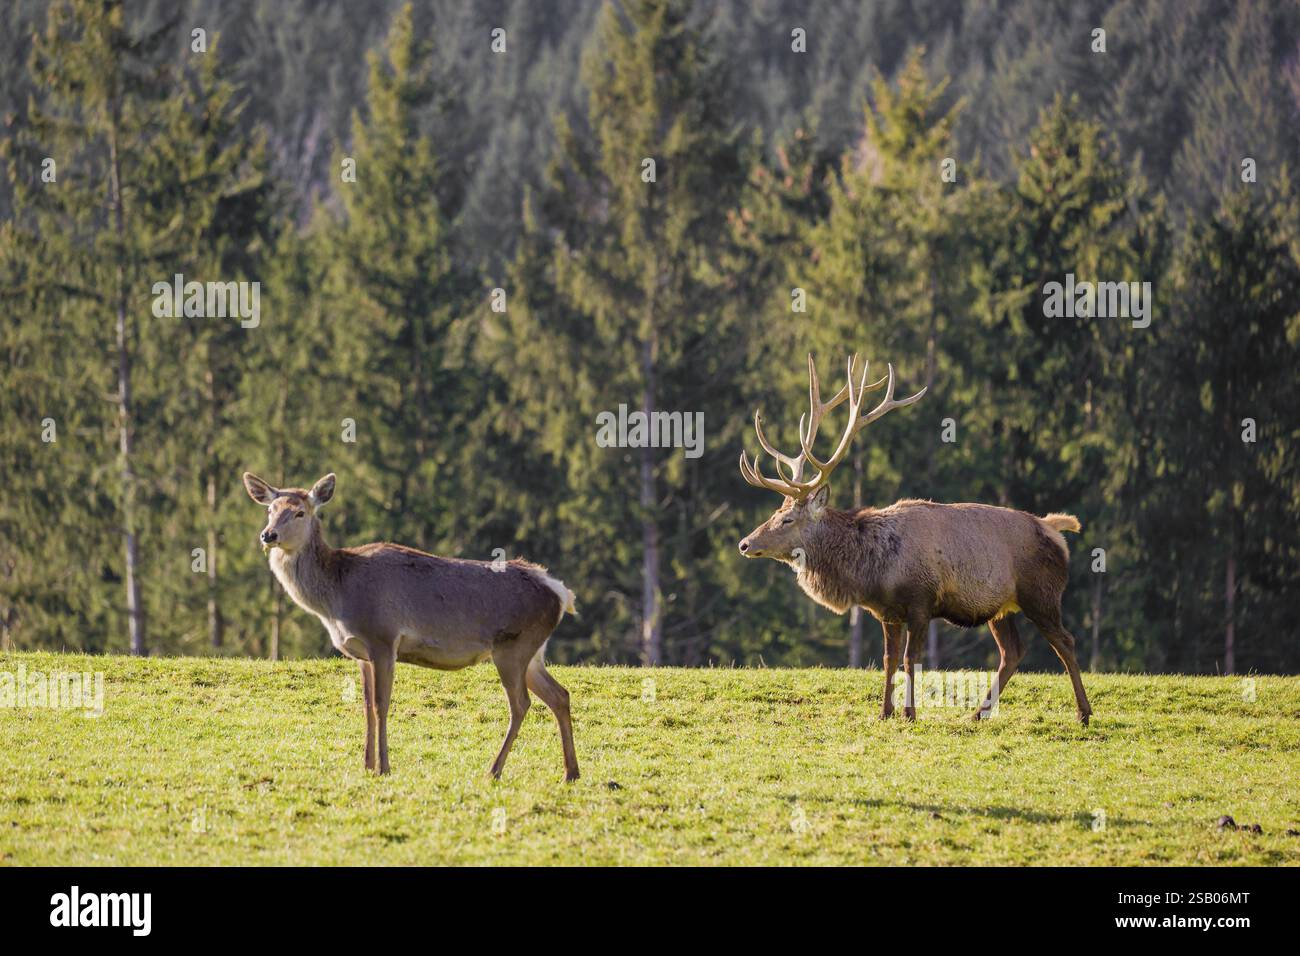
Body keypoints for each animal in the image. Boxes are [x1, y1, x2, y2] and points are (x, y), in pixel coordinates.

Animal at [242, 471, 580, 781]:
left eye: (300, 512)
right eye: (270, 509)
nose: (268, 535)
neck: (336, 598)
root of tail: (560, 591)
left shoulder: (383, 637)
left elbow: (381, 705)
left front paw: (384, 768)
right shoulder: (361, 653)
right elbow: (366, 706)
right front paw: (366, 766)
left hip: (513, 646)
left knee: (521, 703)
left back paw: (494, 770)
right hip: (533, 652)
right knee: (559, 695)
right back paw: (570, 772)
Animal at [737, 354, 1093, 725]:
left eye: (787, 518)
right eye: (776, 511)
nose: (745, 543)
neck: (873, 569)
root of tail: (1054, 529)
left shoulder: (921, 601)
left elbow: (911, 659)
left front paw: (909, 712)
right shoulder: (886, 611)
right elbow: (888, 659)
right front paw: (884, 712)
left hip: (1041, 594)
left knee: (1065, 641)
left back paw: (1083, 713)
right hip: (1001, 608)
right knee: (1013, 651)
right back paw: (977, 714)